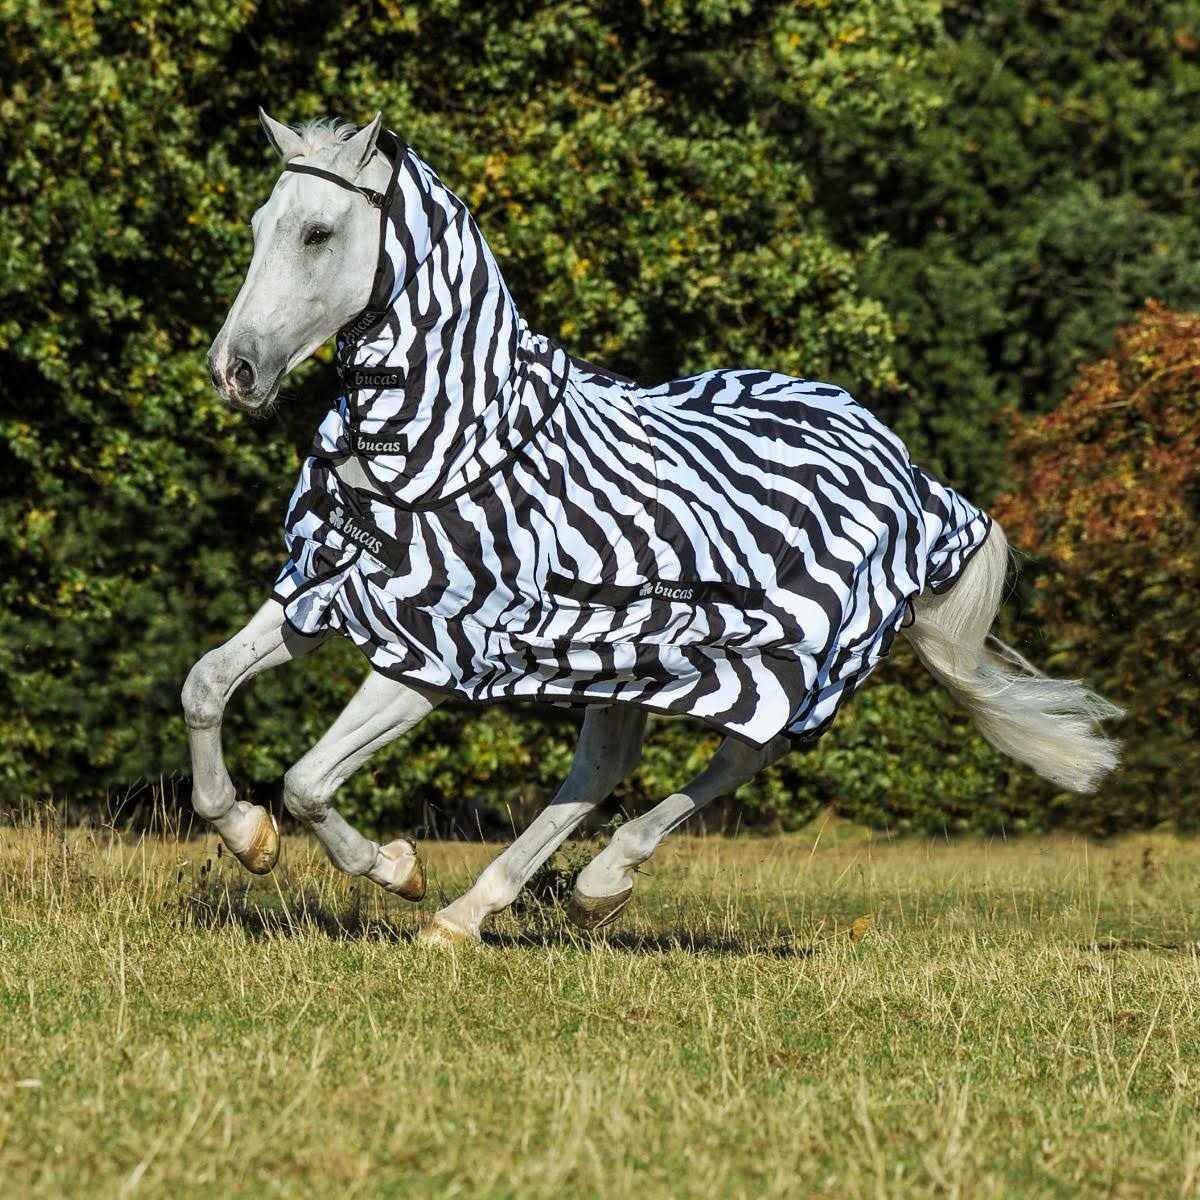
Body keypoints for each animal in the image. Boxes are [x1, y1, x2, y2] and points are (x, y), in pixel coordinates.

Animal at [184, 112, 1122, 944]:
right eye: (260, 224)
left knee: (736, 759)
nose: (234, 370)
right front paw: (247, 836)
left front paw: (395, 868)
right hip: (623, 658)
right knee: (602, 771)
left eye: (317, 233)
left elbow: (308, 782)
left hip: (783, 662)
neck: (449, 439)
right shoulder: (329, 586)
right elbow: (205, 687)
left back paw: (588, 886)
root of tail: (909, 472)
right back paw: (474, 914)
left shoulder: (436, 648)